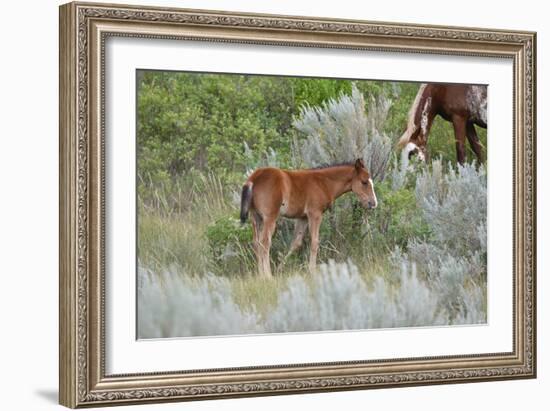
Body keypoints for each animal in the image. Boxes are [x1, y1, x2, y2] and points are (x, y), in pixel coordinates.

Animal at [242, 159, 380, 278]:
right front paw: (312, 271)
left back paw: (260, 275)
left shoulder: (302, 218)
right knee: (265, 242)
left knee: (256, 243)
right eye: (364, 182)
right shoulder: (315, 214)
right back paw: (268, 276)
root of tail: (254, 178)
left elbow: (296, 243)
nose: (373, 203)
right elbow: (315, 242)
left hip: (255, 217)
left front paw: (280, 268)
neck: (323, 183)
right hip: (270, 217)